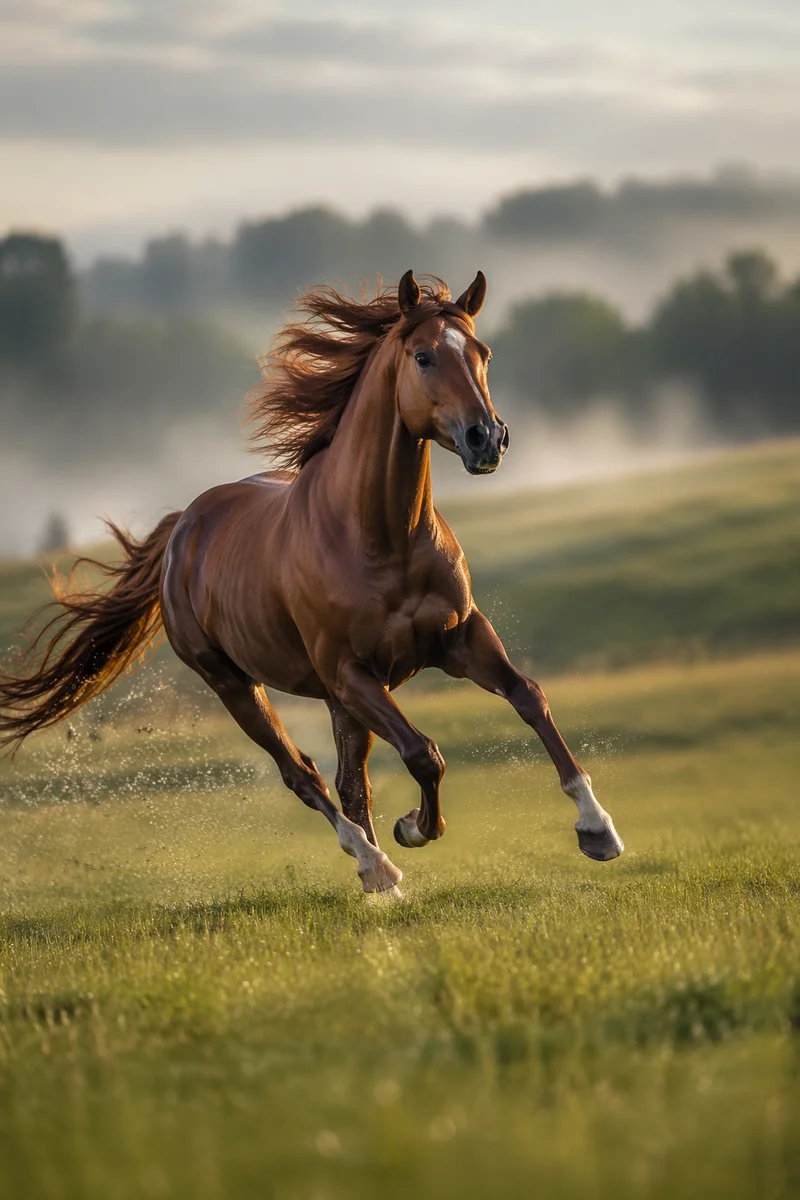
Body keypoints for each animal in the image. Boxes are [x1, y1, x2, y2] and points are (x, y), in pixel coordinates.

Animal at [0, 270, 623, 896]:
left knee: (349, 782)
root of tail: (183, 529)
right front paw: (413, 829)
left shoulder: (460, 638)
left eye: (483, 352)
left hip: (336, 697)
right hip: (236, 684)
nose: (487, 438)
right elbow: (424, 754)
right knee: (303, 774)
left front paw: (597, 828)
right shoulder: (353, 672)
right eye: (423, 356)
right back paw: (375, 864)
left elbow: (529, 698)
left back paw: (385, 882)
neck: (381, 537)